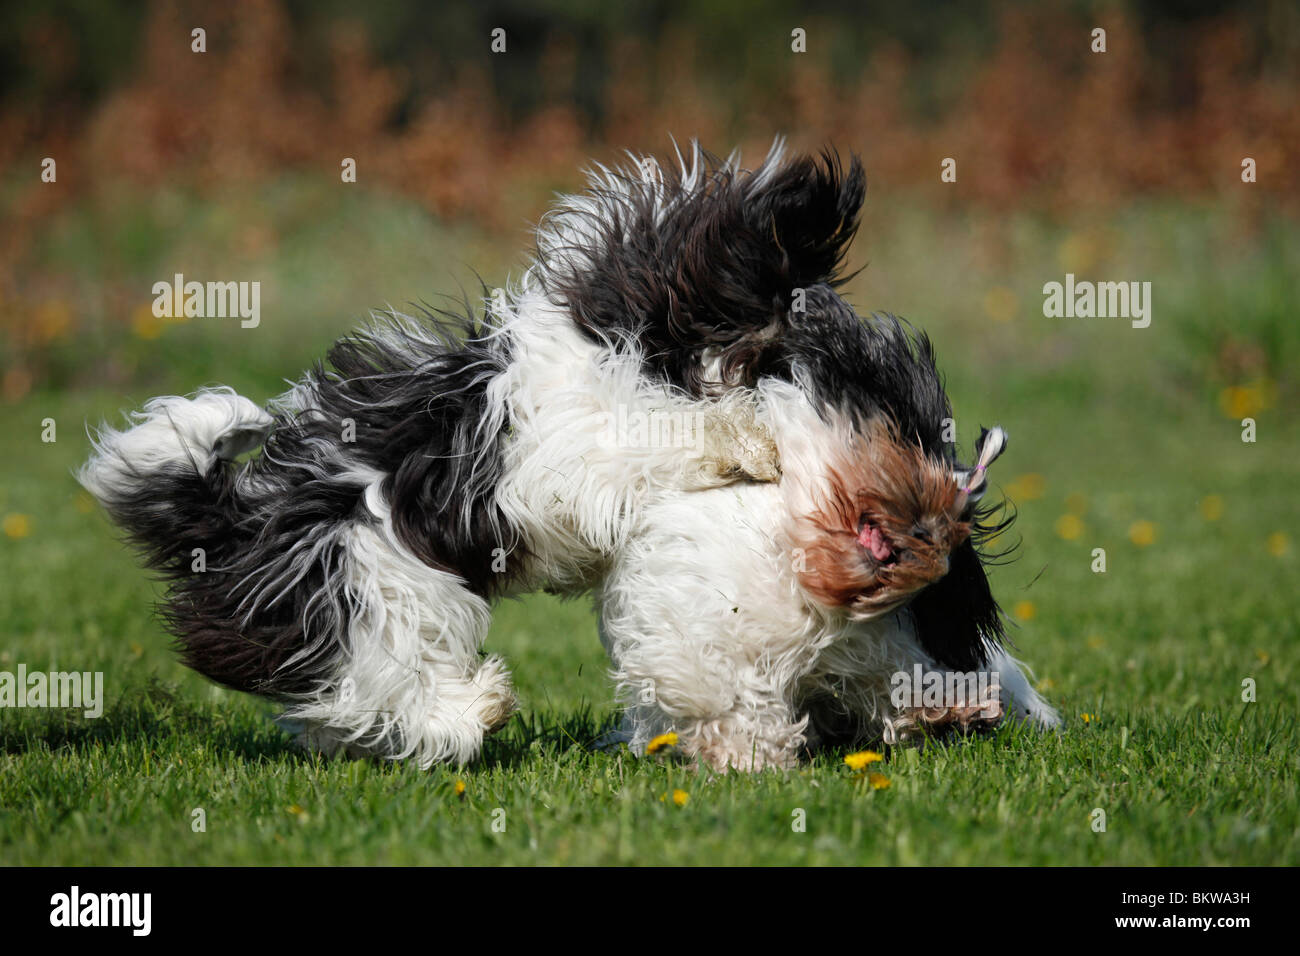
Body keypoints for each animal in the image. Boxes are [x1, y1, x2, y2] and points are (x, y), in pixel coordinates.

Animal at [78, 140, 1055, 770]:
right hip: (370, 586)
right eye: (897, 409)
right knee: (381, 679)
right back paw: (473, 708)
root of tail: (235, 526)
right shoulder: (579, 440)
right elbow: (673, 438)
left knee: (343, 703)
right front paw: (746, 439)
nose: (944, 510)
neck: (647, 349)